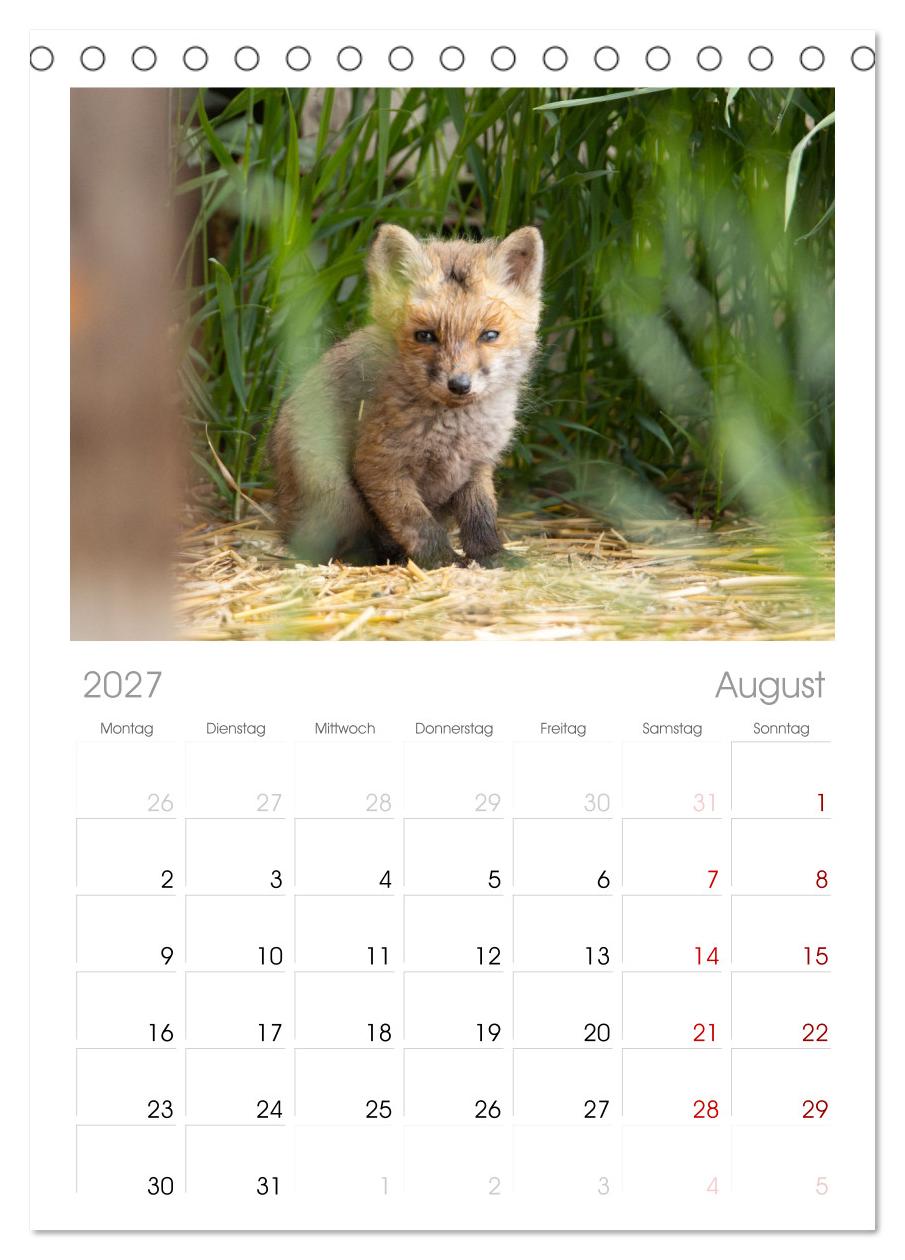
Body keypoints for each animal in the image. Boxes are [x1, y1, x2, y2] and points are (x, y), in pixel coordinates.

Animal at [269, 223, 543, 568]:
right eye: (425, 336)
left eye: (489, 335)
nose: (459, 384)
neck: (456, 431)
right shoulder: (382, 466)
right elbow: (417, 523)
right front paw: (442, 560)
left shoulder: (477, 466)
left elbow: (481, 518)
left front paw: (492, 555)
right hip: (337, 494)